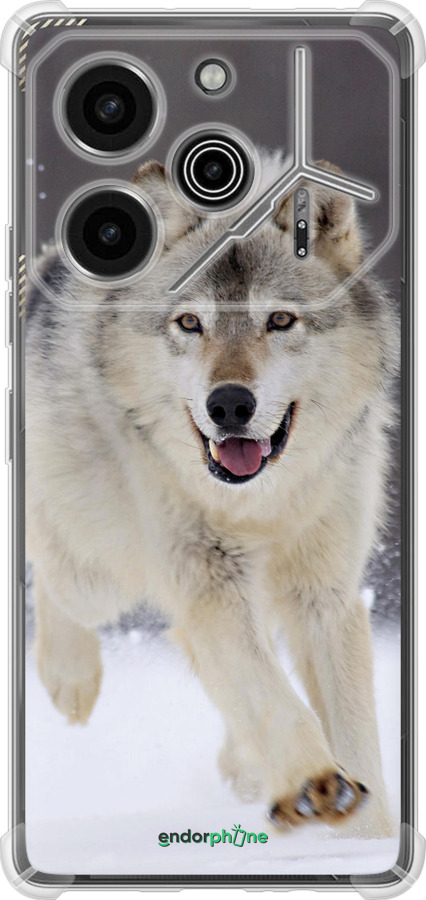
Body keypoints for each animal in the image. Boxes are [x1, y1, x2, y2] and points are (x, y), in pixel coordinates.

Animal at [26, 154, 397, 837]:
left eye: (279, 320)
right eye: (190, 322)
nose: (229, 404)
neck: (260, 503)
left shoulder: (324, 593)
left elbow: (354, 732)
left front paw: (369, 838)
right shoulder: (208, 580)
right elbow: (270, 694)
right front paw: (315, 783)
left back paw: (246, 766)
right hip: (99, 573)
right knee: (54, 575)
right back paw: (71, 679)